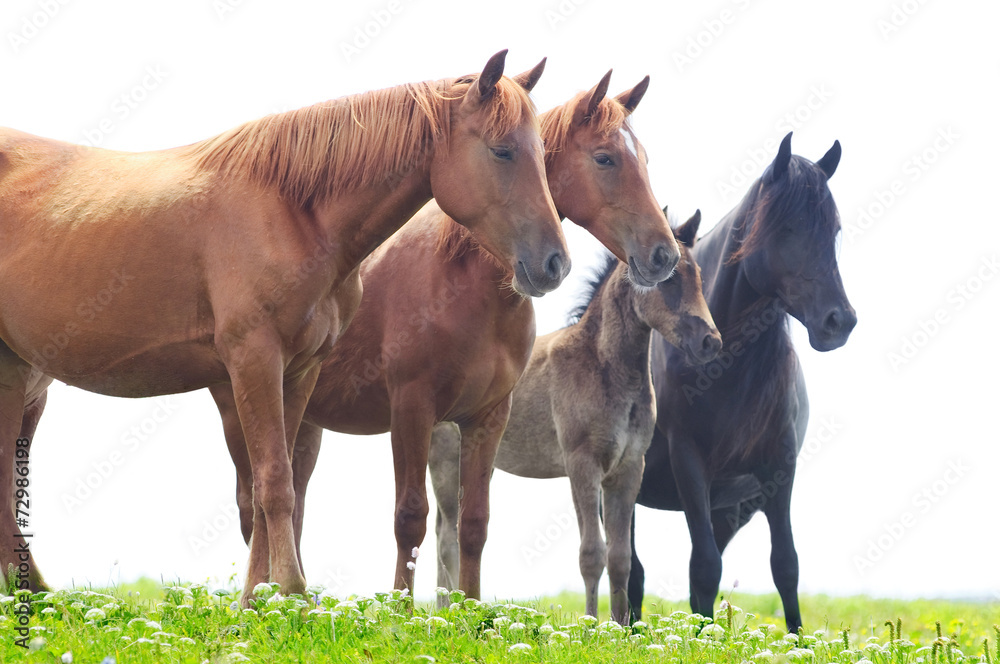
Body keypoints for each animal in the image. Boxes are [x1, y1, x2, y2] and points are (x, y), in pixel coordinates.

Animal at [0, 50, 570, 601]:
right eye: (501, 151)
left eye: (542, 152)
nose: (554, 264)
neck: (293, 211)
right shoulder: (255, 362)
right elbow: (276, 482)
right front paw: (292, 592)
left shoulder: (299, 371)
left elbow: (269, 488)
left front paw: (258, 597)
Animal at [211, 71, 681, 602]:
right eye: (605, 158)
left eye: (643, 159)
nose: (664, 255)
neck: (464, 283)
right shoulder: (412, 410)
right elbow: (410, 517)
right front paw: (401, 609)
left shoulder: (488, 417)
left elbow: (472, 525)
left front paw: (471, 609)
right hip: (244, 406)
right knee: (255, 504)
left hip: (304, 418)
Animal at [430, 208, 722, 624]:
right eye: (668, 279)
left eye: (698, 277)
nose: (710, 342)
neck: (603, 366)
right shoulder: (582, 464)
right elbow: (591, 553)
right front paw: (591, 624)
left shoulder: (627, 469)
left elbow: (620, 557)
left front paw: (620, 626)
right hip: (443, 458)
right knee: (446, 536)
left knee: (444, 529)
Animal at [627, 133, 857, 631]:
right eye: (787, 227)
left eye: (833, 231)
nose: (840, 322)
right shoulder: (689, 462)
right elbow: (704, 566)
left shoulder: (778, 467)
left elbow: (784, 565)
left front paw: (797, 639)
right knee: (629, 566)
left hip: (732, 509)